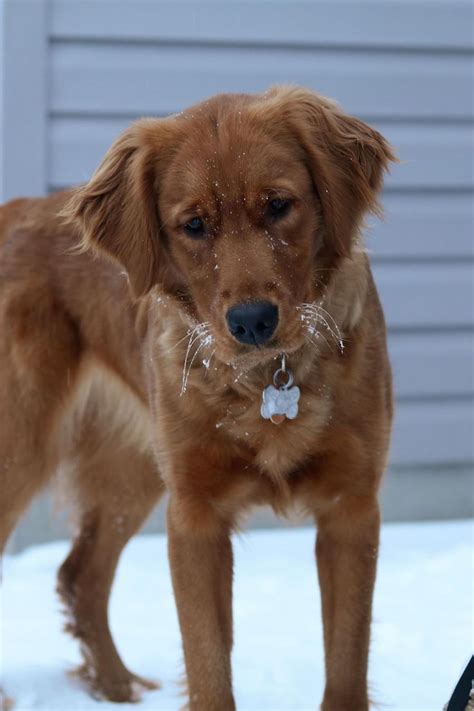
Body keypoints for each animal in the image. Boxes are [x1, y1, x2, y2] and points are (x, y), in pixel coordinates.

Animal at [0, 86, 394, 708]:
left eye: (279, 205)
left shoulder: (351, 508)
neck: (265, 379)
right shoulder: (195, 514)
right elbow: (208, 664)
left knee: (81, 575)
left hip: (130, 468)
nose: (253, 321)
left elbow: (347, 665)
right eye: (194, 225)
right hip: (21, 449)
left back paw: (119, 688)